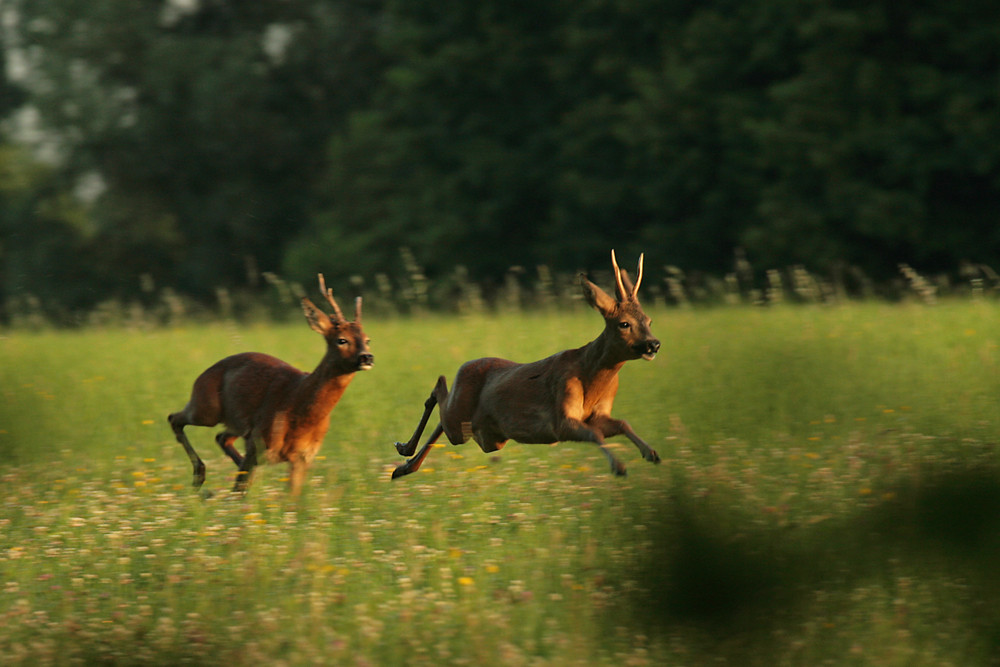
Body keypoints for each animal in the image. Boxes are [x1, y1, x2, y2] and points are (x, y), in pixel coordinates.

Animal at [166, 272, 374, 496]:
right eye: (342, 340)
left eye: (367, 340)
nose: (367, 357)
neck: (299, 408)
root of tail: (205, 372)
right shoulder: (258, 444)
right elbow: (238, 490)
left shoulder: (303, 457)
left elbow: (291, 499)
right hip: (206, 408)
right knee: (175, 418)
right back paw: (200, 475)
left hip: (236, 425)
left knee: (221, 438)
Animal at [392, 252, 664, 480]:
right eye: (624, 324)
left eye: (649, 320)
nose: (653, 344)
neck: (591, 377)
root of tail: (465, 366)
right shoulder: (560, 419)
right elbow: (593, 434)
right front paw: (618, 466)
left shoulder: (598, 415)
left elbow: (622, 423)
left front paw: (651, 453)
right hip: (462, 421)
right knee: (439, 387)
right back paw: (404, 452)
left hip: (488, 438)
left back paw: (404, 465)